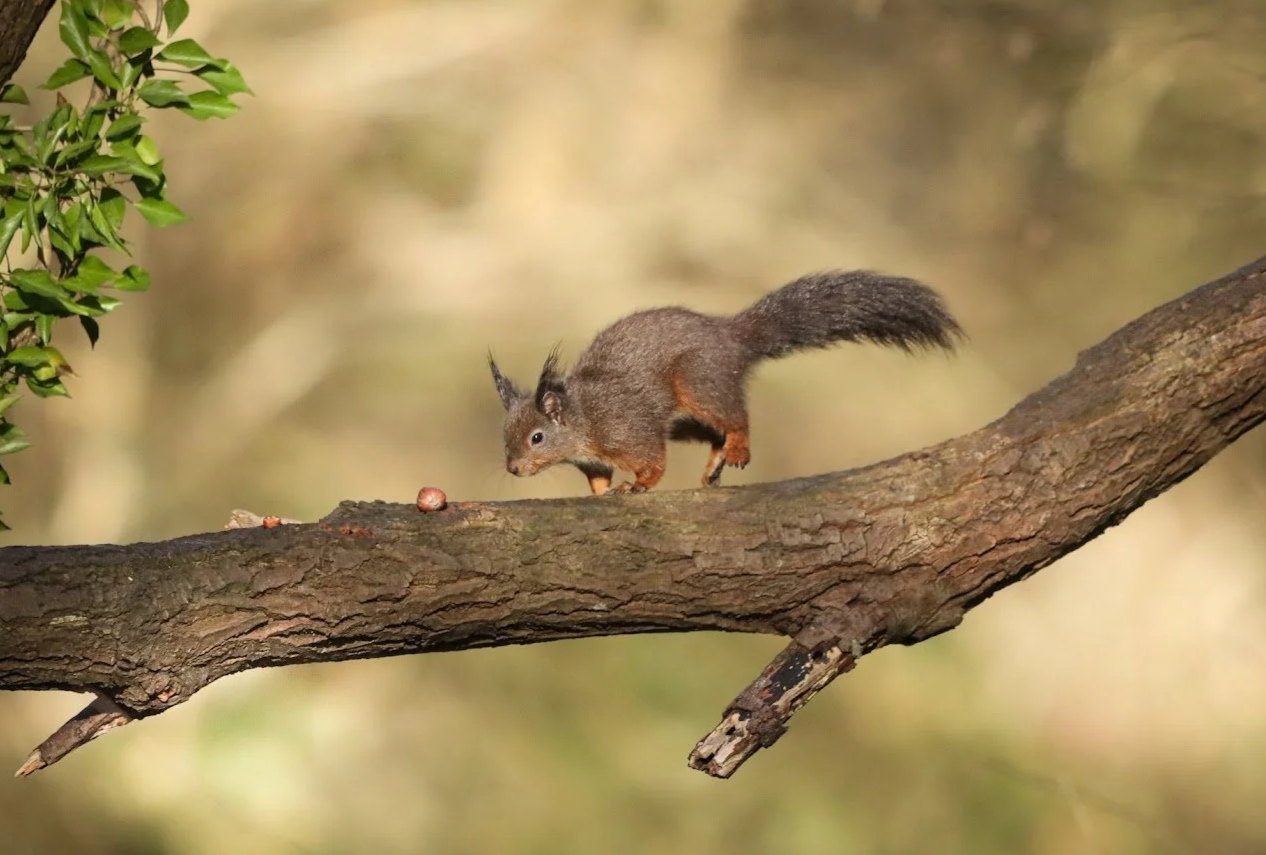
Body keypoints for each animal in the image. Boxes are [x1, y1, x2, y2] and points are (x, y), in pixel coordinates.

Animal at [489, 270, 963, 495]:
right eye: (505, 435)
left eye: (536, 437)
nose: (512, 469)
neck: (583, 419)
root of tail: (730, 337)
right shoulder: (593, 458)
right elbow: (598, 477)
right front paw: (600, 493)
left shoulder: (628, 429)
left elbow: (651, 461)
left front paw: (637, 485)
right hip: (686, 422)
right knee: (713, 433)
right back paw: (716, 460)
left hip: (698, 383)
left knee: (735, 418)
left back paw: (737, 448)